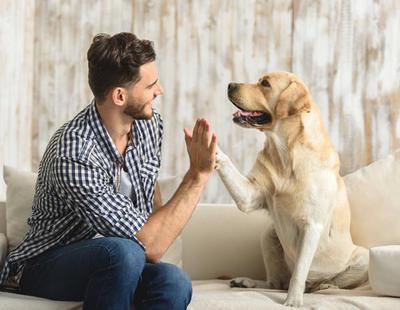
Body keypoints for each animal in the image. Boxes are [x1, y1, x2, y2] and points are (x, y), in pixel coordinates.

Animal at [216, 71, 368, 306]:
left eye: (265, 84)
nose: (230, 85)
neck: (285, 153)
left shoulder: (312, 226)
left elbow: (299, 272)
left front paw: (293, 301)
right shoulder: (250, 195)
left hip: (362, 257)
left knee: (325, 282)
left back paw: (324, 285)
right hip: (268, 236)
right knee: (275, 283)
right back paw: (246, 282)